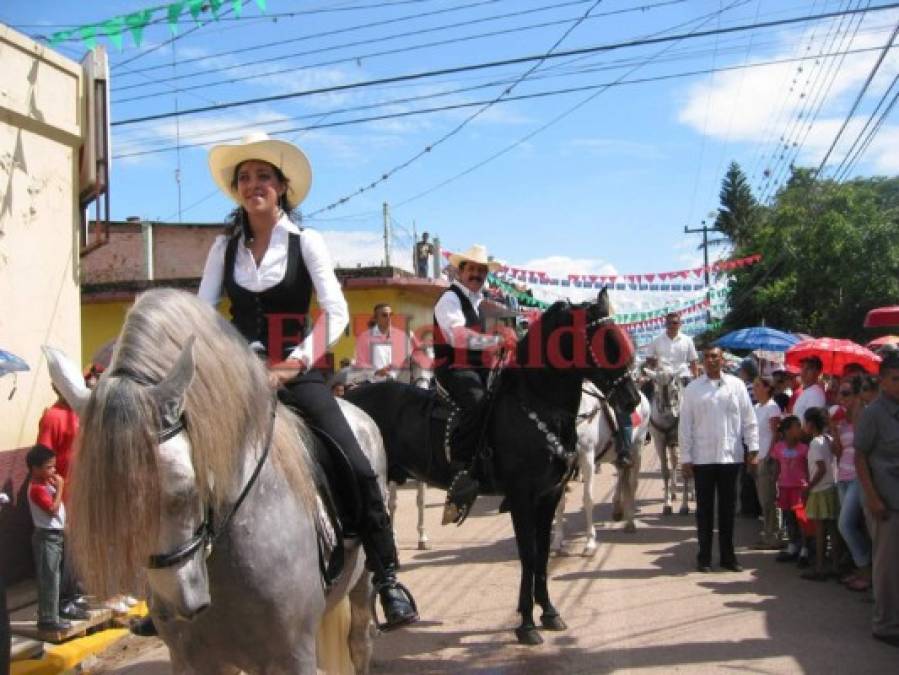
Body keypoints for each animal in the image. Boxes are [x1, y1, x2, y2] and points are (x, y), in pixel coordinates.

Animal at [44, 290, 380, 675]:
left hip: (362, 582)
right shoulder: (194, 659)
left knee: (360, 642)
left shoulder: (293, 656)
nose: (177, 605)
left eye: (187, 489)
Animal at [346, 290, 640, 644]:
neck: (537, 406)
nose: (632, 399)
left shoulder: (549, 495)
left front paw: (549, 613)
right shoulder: (522, 497)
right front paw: (526, 624)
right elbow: (528, 554)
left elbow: (542, 554)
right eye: (603, 342)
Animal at [644, 368, 692, 516]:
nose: (668, 411)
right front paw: (667, 504)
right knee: (674, 461)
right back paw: (674, 491)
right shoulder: (659, 441)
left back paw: (691, 493)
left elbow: (686, 471)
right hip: (671, 443)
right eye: (657, 389)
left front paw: (684, 506)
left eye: (674, 390)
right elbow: (665, 471)